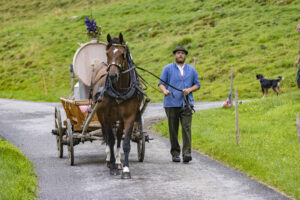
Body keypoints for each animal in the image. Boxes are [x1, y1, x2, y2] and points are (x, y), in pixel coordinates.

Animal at [92, 33, 142, 180]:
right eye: (107, 53)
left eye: (122, 54)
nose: (113, 75)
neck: (119, 91)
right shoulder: (107, 117)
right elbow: (111, 140)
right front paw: (113, 167)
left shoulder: (129, 117)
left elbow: (125, 143)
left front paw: (125, 169)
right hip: (101, 116)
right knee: (107, 136)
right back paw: (110, 160)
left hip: (119, 119)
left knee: (119, 135)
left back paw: (119, 162)